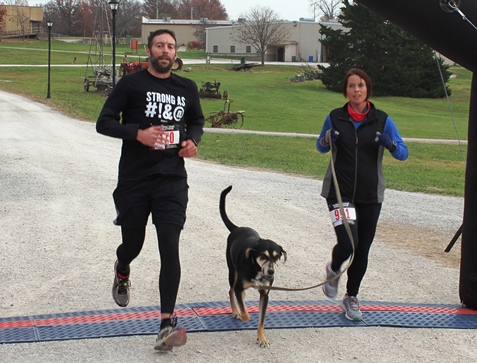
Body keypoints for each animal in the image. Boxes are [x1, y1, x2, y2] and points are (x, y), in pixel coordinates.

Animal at [219, 186, 286, 348]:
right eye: (263, 256)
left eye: (277, 256)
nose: (271, 271)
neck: (258, 270)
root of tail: (237, 228)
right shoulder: (239, 286)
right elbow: (245, 313)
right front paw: (243, 314)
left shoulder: (265, 294)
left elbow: (261, 320)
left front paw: (261, 338)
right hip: (232, 272)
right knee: (231, 291)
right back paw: (236, 311)